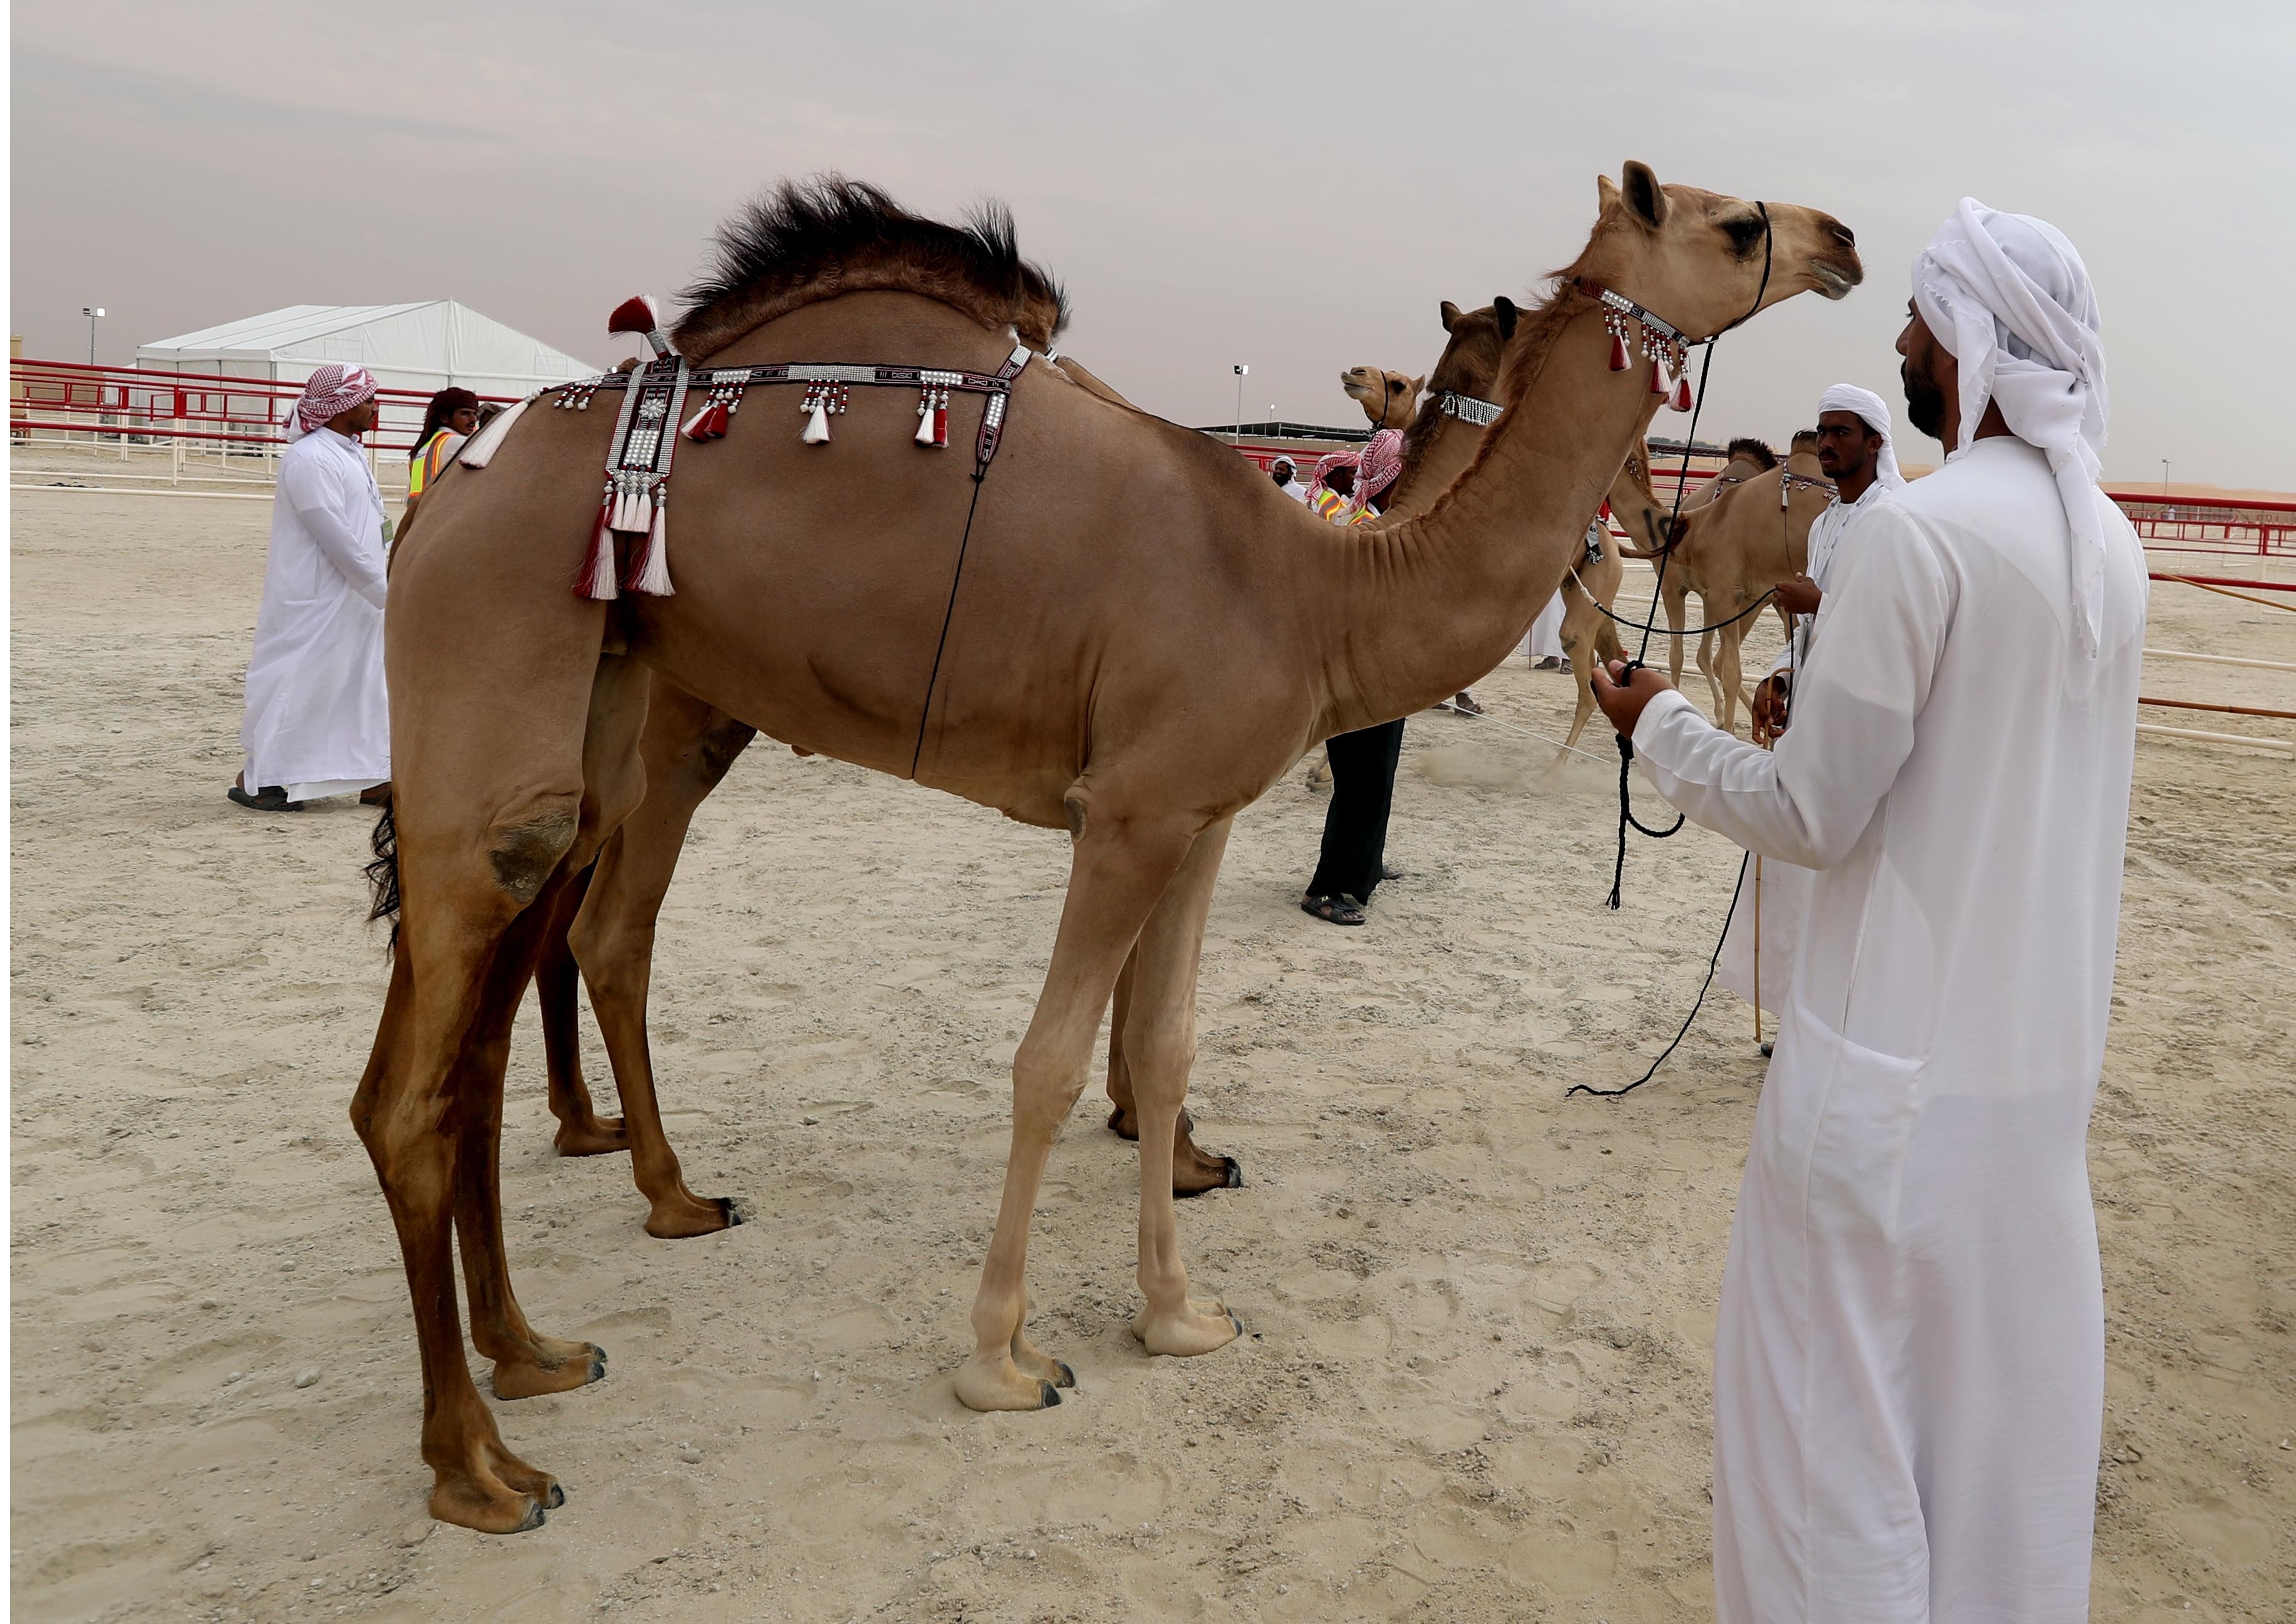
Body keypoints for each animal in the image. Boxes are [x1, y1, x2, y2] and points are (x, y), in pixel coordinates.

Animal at [362, 158, 1864, 1534]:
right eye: (1737, 224)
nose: (1842, 238)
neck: (1319, 589)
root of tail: (438, 503)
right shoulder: (1128, 813)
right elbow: (1042, 1061)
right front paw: (1002, 1359)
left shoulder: (1194, 817)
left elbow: (1162, 1039)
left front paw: (1179, 1309)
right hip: (523, 696)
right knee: (431, 1078)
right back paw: (483, 1460)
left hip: (602, 700)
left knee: (476, 1039)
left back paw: (539, 1349)